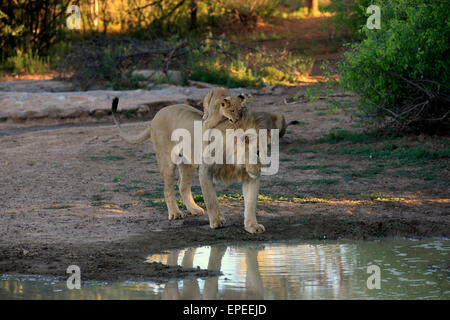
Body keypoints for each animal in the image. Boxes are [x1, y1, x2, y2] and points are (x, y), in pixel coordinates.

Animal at [110, 95, 284, 232]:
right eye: (257, 152)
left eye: (268, 151)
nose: (261, 170)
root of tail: (156, 115)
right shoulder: (206, 170)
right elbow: (211, 200)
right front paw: (217, 222)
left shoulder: (249, 177)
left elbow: (251, 202)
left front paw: (252, 226)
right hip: (167, 161)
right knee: (168, 189)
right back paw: (175, 213)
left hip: (187, 163)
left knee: (182, 185)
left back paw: (193, 209)